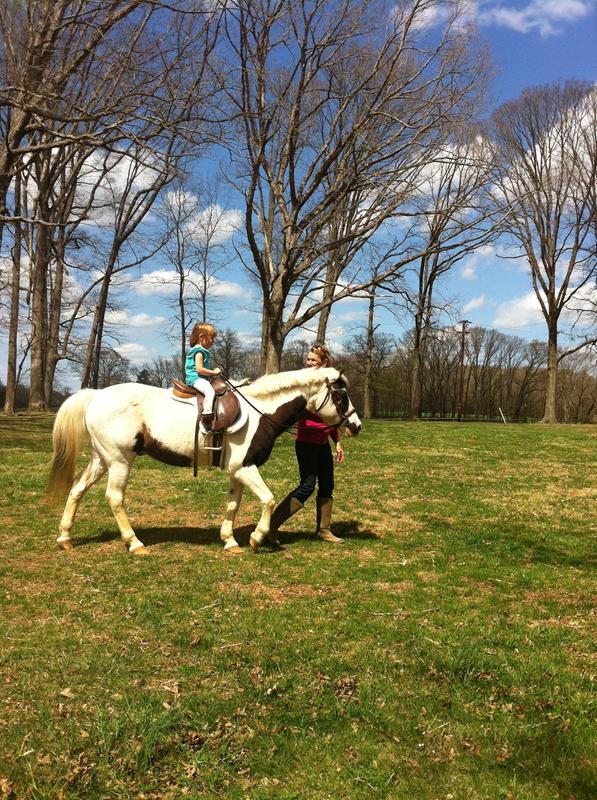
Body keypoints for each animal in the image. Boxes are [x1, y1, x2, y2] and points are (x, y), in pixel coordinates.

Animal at [46, 367, 361, 555]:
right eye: (341, 396)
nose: (356, 425)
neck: (259, 412)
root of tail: (96, 396)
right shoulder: (246, 468)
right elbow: (269, 500)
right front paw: (257, 538)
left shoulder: (238, 471)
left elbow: (233, 504)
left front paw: (230, 541)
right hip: (120, 461)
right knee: (114, 498)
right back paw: (134, 543)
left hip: (101, 460)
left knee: (77, 490)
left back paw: (65, 537)